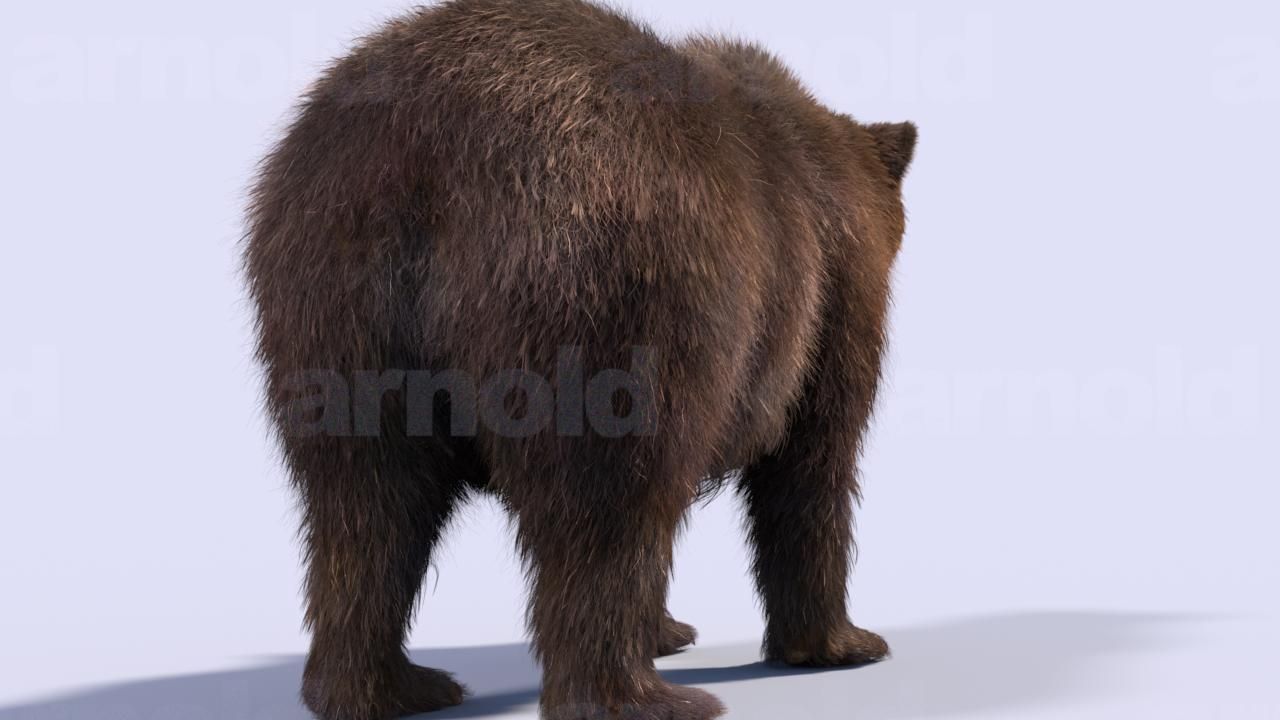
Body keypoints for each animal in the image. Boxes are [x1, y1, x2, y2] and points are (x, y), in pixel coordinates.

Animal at [243, 0, 916, 718]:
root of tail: (434, 157)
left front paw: (666, 629)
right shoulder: (830, 298)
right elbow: (812, 463)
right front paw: (844, 642)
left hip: (334, 289)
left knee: (364, 503)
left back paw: (389, 687)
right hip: (606, 281)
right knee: (605, 502)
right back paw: (643, 698)